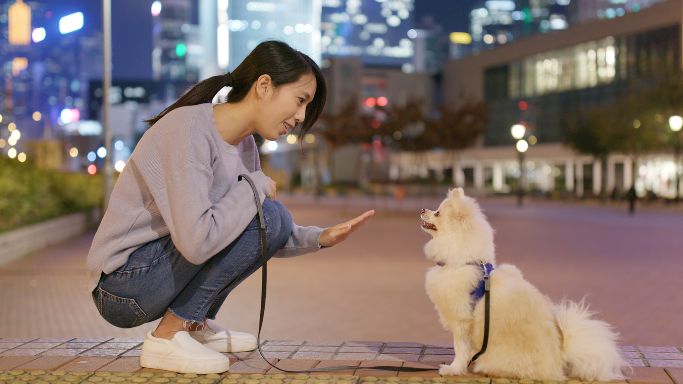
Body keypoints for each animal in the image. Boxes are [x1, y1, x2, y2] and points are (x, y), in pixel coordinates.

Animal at [422, 188, 632, 380]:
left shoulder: (461, 320)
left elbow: (460, 348)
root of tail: (561, 361)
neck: (464, 261)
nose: (423, 209)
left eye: (438, 213)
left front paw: (453, 369)